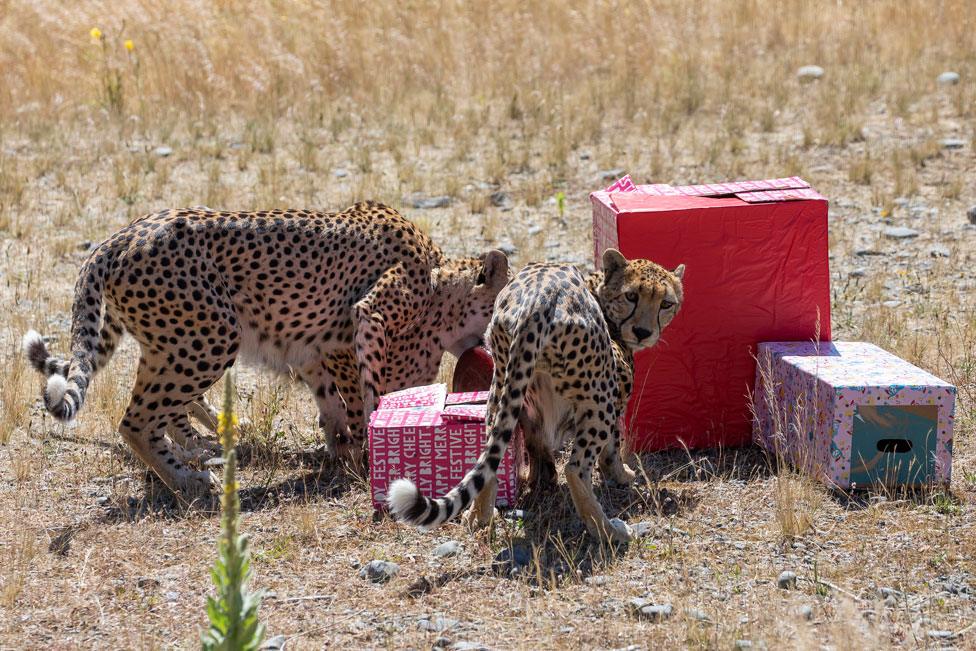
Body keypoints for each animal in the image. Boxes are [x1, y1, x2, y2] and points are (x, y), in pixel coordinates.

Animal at [22, 204, 508, 500]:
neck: (439, 280)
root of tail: (118, 237)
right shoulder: (363, 318)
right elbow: (364, 391)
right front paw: (362, 452)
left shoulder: (316, 346)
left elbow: (330, 400)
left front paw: (340, 446)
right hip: (211, 335)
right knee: (136, 419)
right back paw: (189, 479)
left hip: (174, 341)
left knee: (167, 407)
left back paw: (200, 445)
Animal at [388, 251, 688, 544]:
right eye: (631, 296)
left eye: (666, 303)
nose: (642, 332)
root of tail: (537, 301)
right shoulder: (617, 385)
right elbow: (613, 444)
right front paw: (621, 474)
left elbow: (537, 444)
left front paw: (542, 479)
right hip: (598, 394)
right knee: (576, 469)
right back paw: (608, 531)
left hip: (501, 385)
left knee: (491, 455)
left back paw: (479, 517)